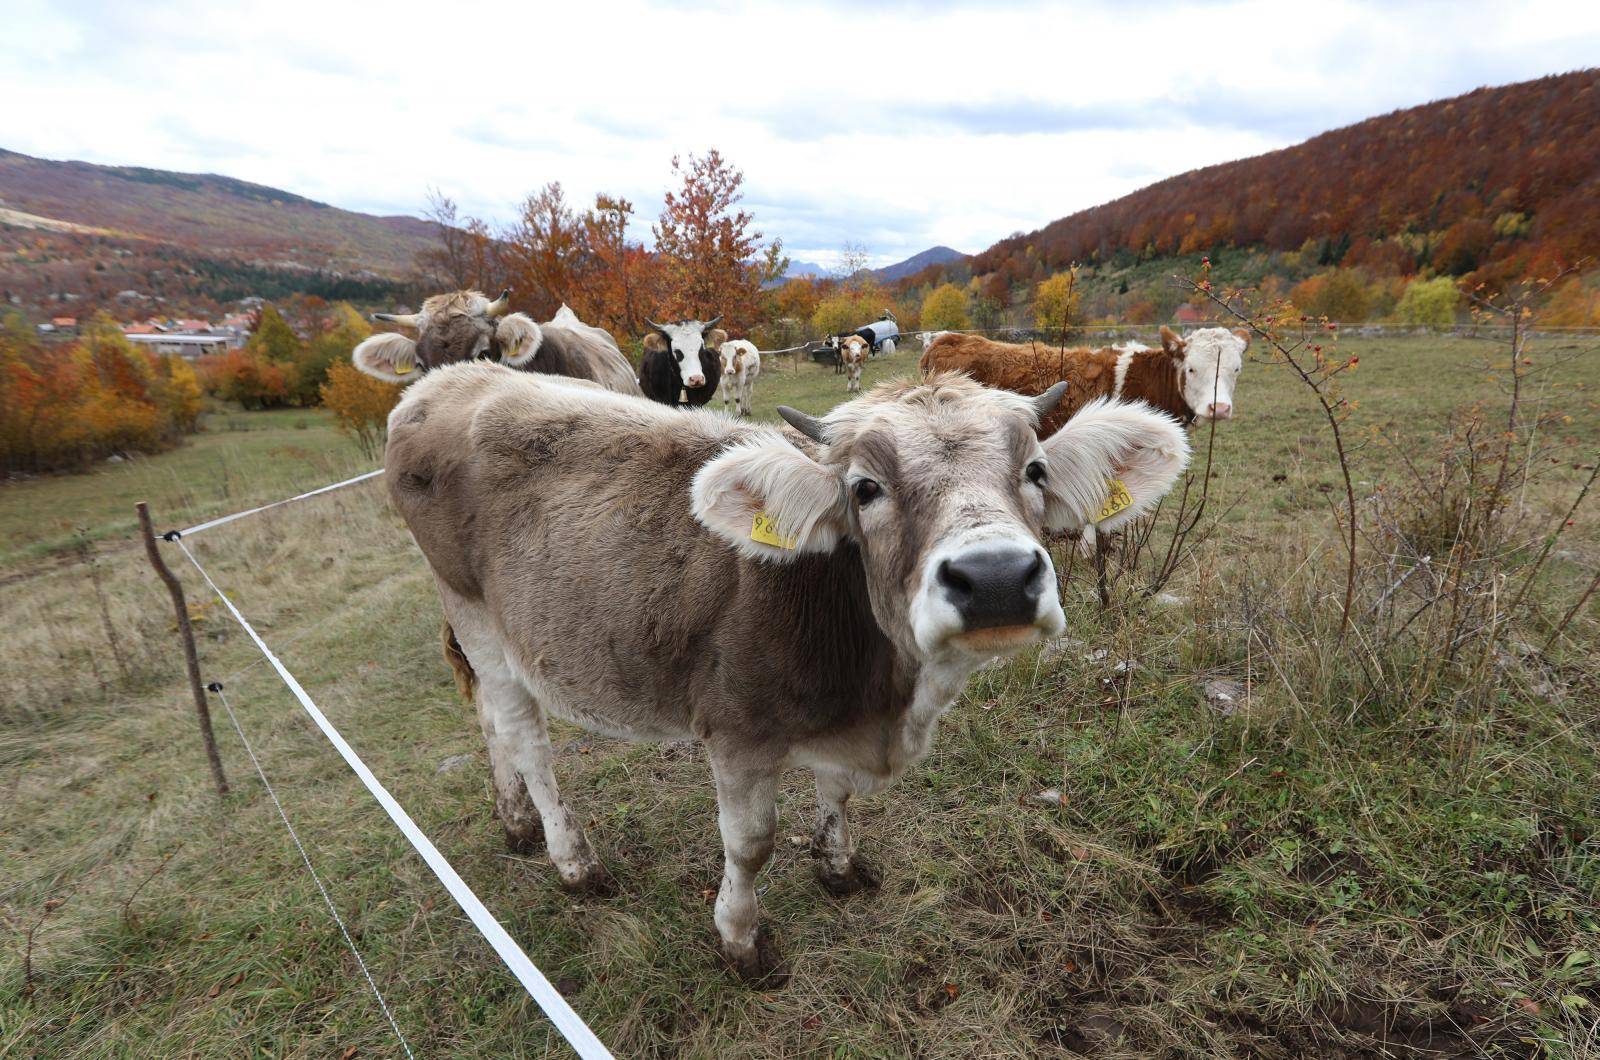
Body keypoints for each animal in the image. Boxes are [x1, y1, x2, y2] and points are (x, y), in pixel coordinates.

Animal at [384, 363, 1190, 979]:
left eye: (1034, 470)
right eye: (865, 488)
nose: (994, 578)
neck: (882, 697)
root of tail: (451, 377)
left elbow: (836, 792)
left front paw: (837, 866)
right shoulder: (736, 731)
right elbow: (750, 844)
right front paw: (741, 941)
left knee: (487, 717)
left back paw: (515, 822)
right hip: (477, 613)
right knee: (522, 732)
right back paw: (574, 862)